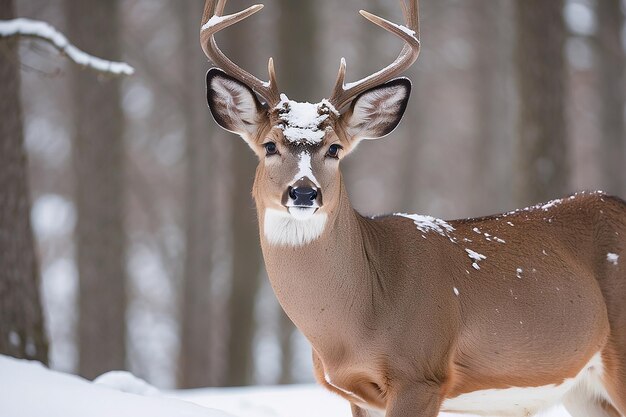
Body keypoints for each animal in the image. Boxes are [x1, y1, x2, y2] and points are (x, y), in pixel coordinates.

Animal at [200, 0, 624, 416]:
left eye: (334, 148)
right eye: (270, 145)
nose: (304, 193)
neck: (359, 319)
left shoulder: (421, 373)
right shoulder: (360, 396)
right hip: (583, 390)